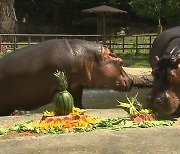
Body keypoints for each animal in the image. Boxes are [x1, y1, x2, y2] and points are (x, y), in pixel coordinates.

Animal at [0, 38, 132, 115]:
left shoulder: (76, 85)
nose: (131, 80)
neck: (88, 57)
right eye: (121, 62)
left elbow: (78, 101)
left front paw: (82, 109)